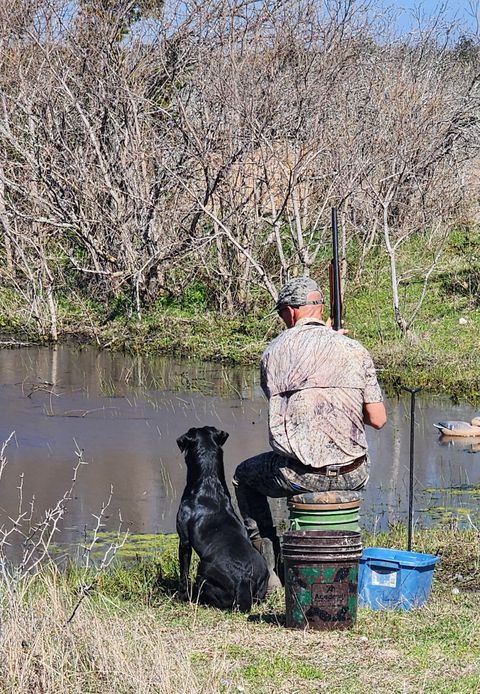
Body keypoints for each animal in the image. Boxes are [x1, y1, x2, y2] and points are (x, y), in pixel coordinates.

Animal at [175, 426, 268, 612]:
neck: (208, 482)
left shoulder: (184, 540)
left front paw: (181, 596)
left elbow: (183, 573)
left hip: (203, 573)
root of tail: (244, 580)